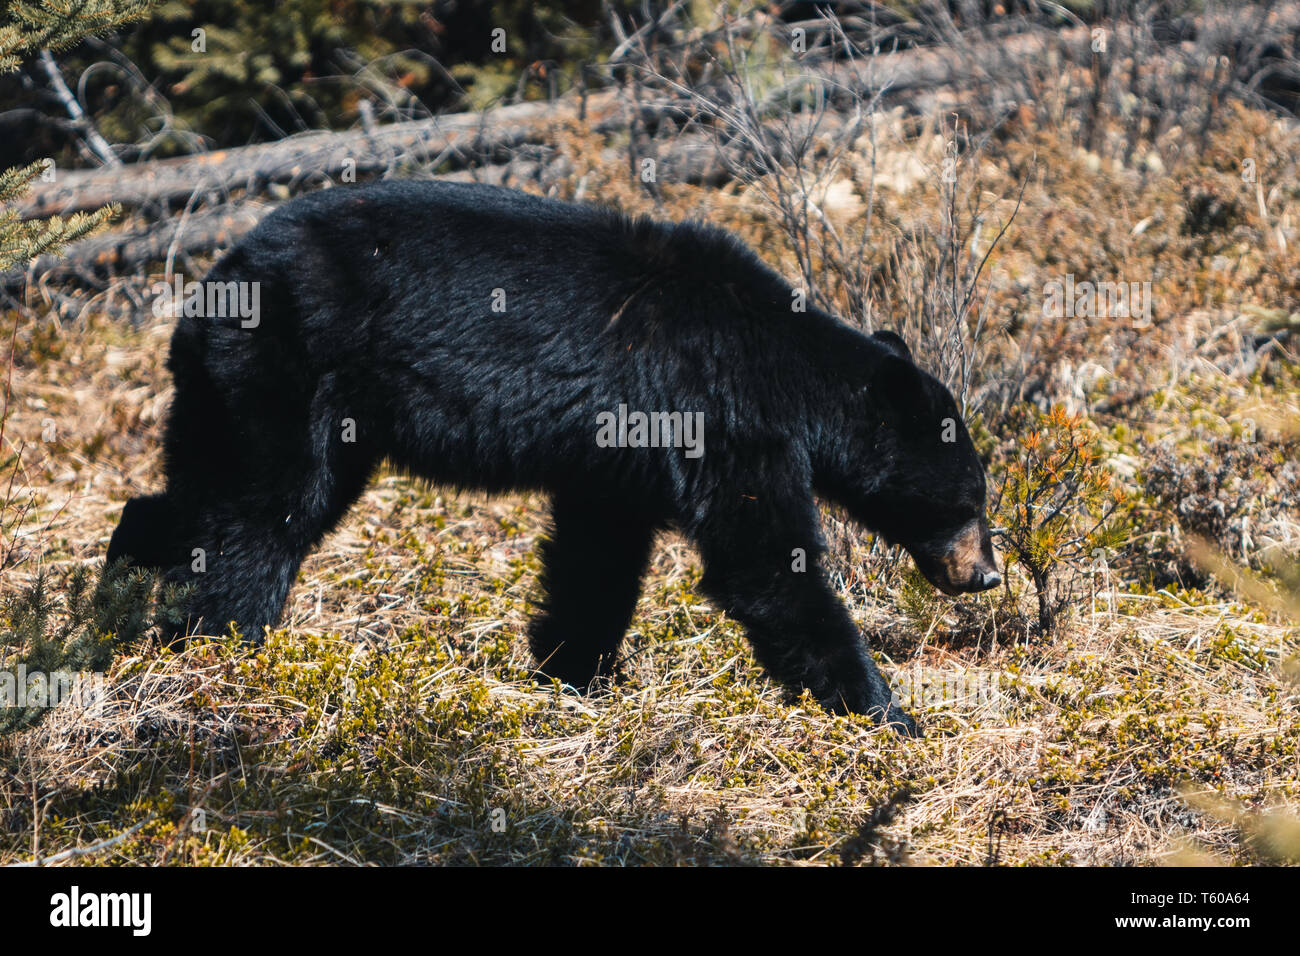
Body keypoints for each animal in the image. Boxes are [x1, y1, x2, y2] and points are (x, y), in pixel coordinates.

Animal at [107, 180, 1001, 735]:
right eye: (972, 501)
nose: (987, 575)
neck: (784, 366)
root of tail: (215, 278)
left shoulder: (626, 451)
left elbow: (597, 554)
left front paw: (573, 674)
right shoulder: (718, 413)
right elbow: (763, 564)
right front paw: (885, 712)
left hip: (246, 391)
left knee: (201, 493)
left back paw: (122, 586)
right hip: (290, 370)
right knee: (263, 516)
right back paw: (227, 646)